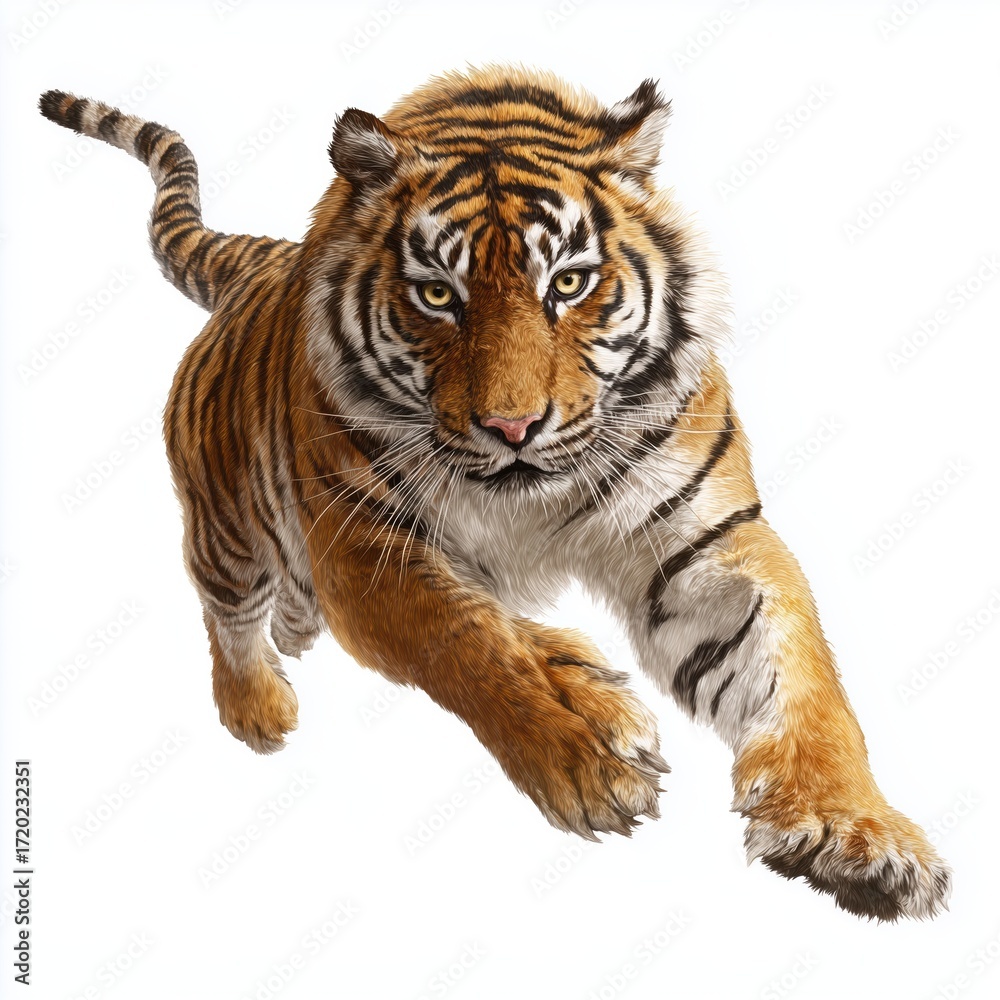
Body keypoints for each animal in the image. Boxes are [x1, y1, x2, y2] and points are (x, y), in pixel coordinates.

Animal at [39, 65, 951, 921]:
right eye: (438, 294)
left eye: (570, 285)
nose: (513, 426)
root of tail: (263, 258)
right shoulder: (365, 554)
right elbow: (468, 642)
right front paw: (586, 761)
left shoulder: (706, 540)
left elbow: (804, 676)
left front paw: (860, 833)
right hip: (222, 517)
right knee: (228, 610)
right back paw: (261, 705)